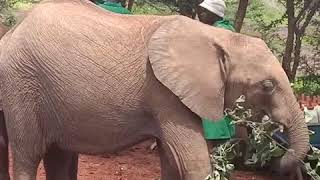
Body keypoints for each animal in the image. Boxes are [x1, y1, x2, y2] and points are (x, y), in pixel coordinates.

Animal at [0, 0, 310, 180]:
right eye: (267, 86)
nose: (281, 162)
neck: (221, 37)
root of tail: (12, 32)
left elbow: (172, 160)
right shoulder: (164, 93)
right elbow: (192, 161)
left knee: (57, 154)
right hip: (21, 83)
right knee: (28, 154)